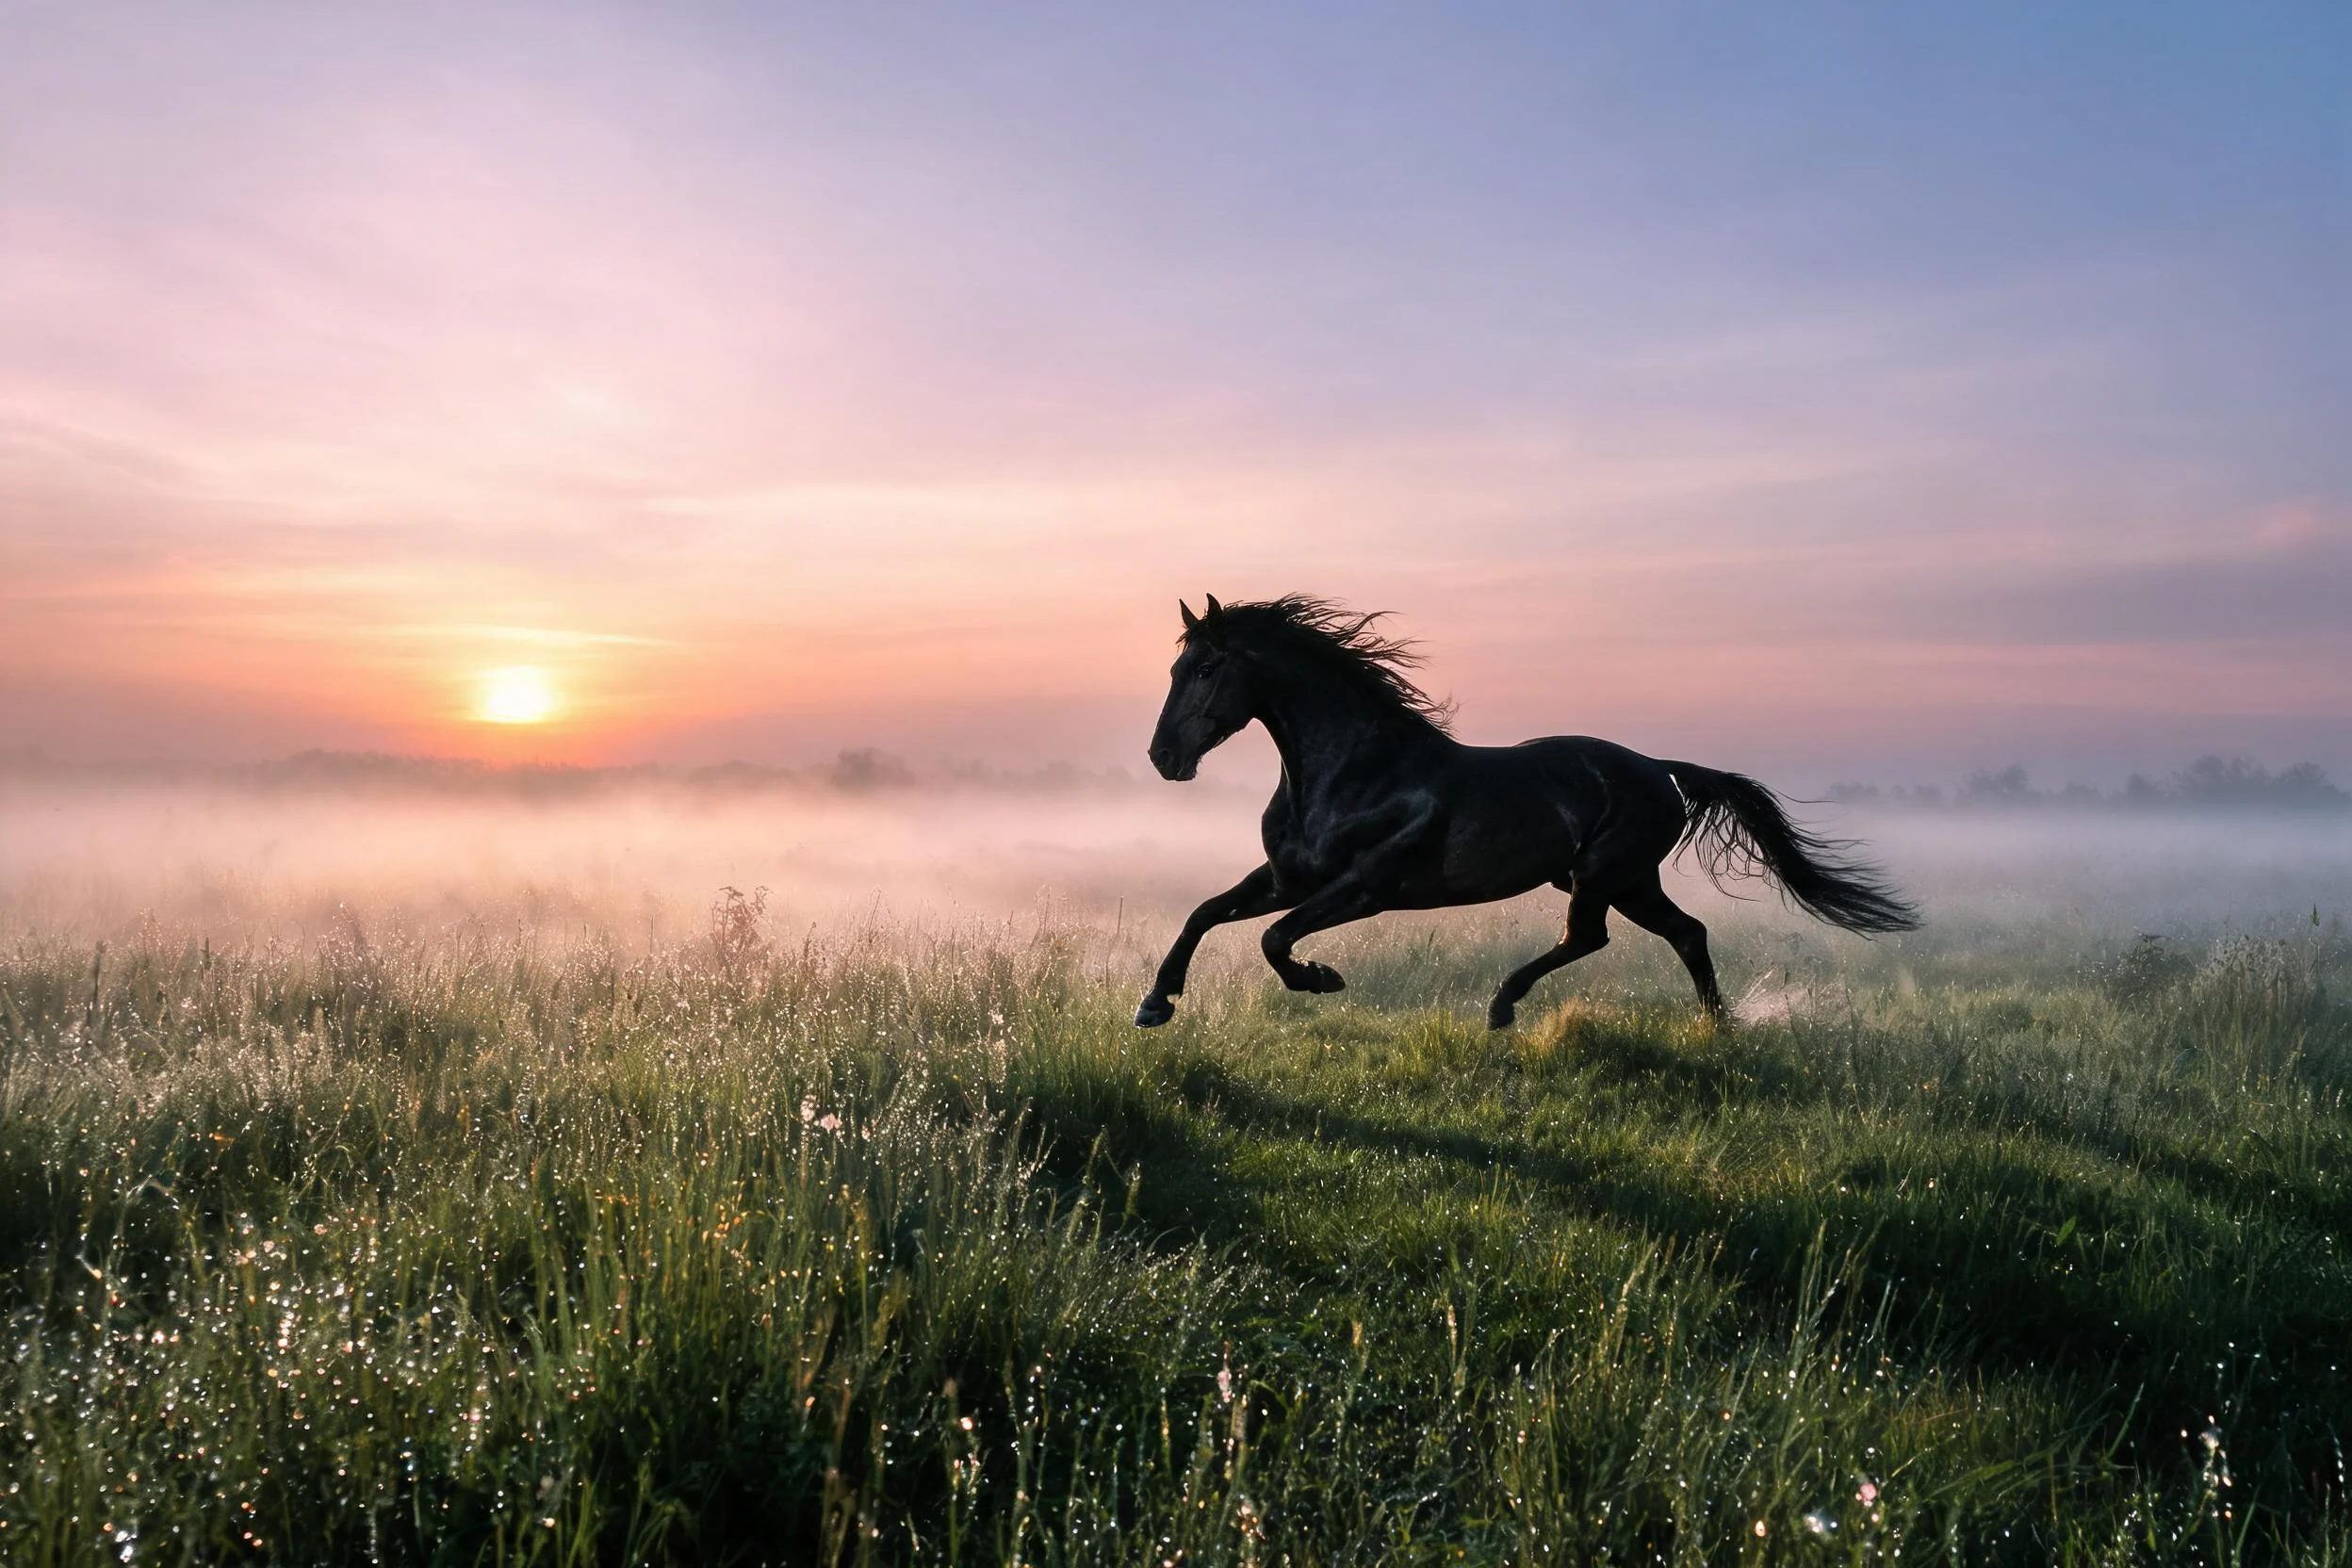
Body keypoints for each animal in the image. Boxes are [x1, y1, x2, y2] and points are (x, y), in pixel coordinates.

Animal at [1135, 594, 1919, 1030]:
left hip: (1604, 876)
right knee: (1687, 934)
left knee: (1590, 937)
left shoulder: (1365, 889)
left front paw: (1320, 978)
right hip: (1629, 881)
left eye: (1206, 668)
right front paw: (1156, 1004)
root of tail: (1659, 769)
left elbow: (1274, 940)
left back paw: (1503, 1005)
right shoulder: (1288, 878)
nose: (1163, 757)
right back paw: (1717, 1028)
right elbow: (1203, 913)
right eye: (1173, 667)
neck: (1354, 770)